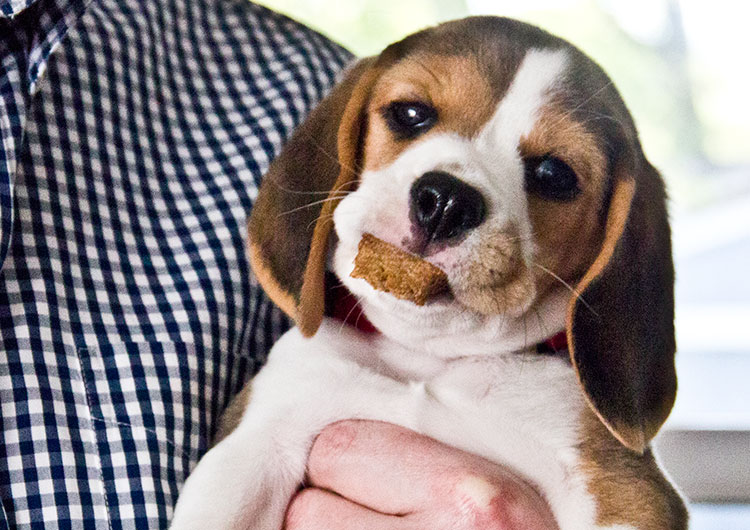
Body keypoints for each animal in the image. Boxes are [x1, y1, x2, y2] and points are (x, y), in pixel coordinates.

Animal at [173, 16, 692, 528]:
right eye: (410, 113)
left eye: (554, 174)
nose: (447, 201)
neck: (426, 358)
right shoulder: (259, 436)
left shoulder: (619, 484)